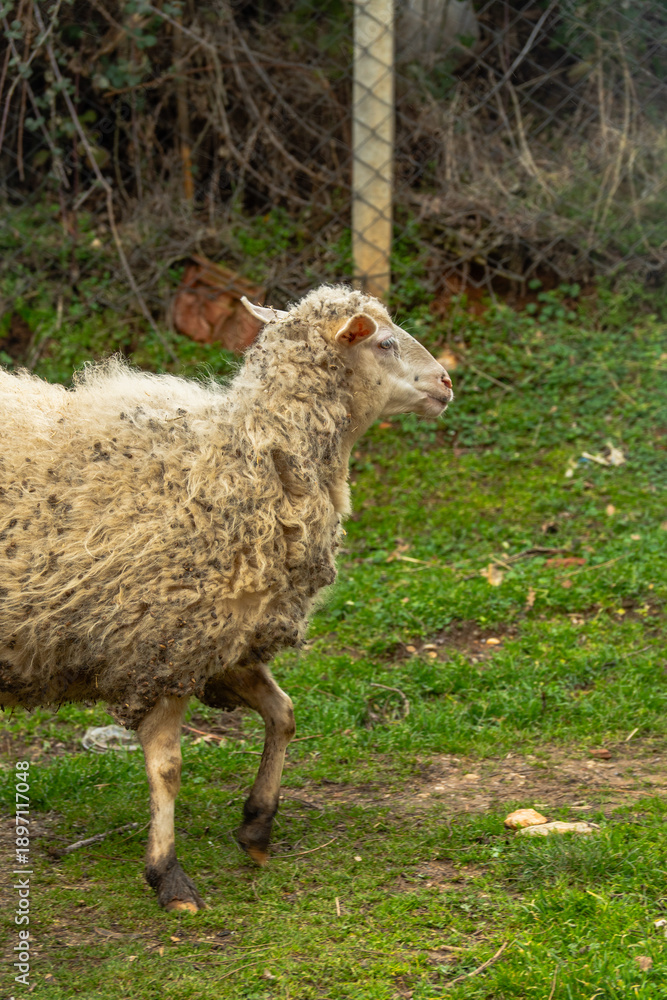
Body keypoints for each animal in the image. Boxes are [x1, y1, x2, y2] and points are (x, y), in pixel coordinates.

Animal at [0, 284, 453, 912]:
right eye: (384, 342)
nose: (447, 382)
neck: (247, 461)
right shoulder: (164, 644)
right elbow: (168, 768)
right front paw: (168, 876)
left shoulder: (227, 642)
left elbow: (284, 714)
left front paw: (257, 825)